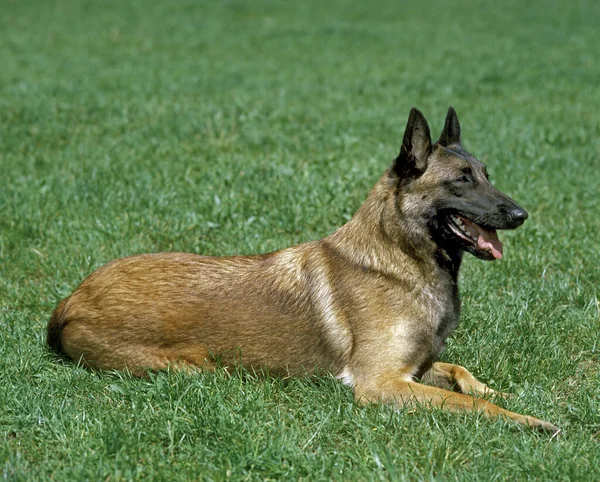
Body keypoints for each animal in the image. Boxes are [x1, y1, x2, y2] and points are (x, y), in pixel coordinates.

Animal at [45, 108, 556, 434]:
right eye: (461, 181)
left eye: (487, 174)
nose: (521, 214)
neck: (399, 259)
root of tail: (71, 299)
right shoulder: (381, 383)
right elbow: (470, 403)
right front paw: (526, 421)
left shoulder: (414, 369)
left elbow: (462, 374)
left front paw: (505, 392)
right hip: (191, 370)